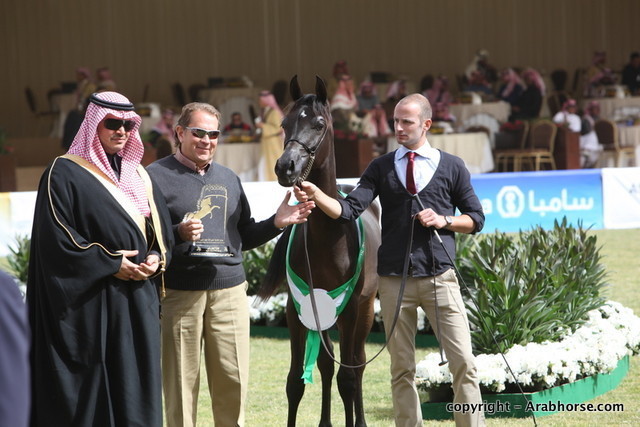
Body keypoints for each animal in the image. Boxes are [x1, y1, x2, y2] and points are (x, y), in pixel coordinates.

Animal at [257, 75, 381, 427]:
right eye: (284, 123)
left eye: (319, 123)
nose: (285, 167)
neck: (329, 239)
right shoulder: (297, 309)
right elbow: (295, 382)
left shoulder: (351, 309)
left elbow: (349, 377)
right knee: (327, 365)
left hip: (365, 309)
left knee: (357, 364)